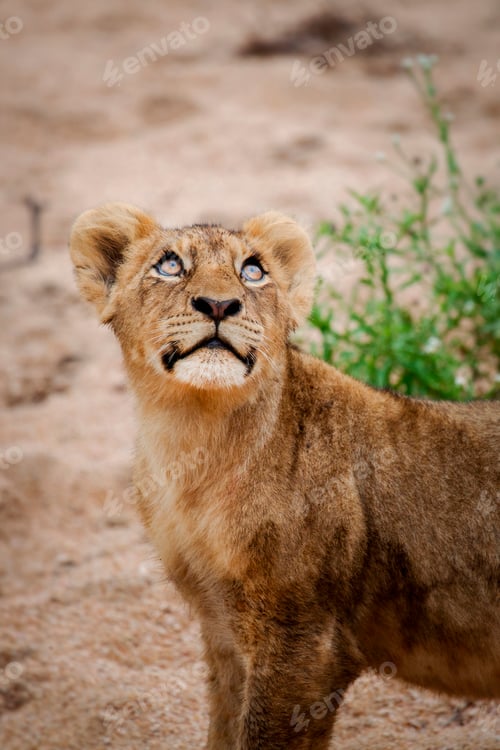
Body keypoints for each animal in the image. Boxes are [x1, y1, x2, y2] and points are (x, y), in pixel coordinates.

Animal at [70, 202, 499, 749]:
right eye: (169, 265)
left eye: (253, 271)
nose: (218, 304)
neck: (196, 449)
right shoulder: (224, 630)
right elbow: (223, 728)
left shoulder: (305, 648)